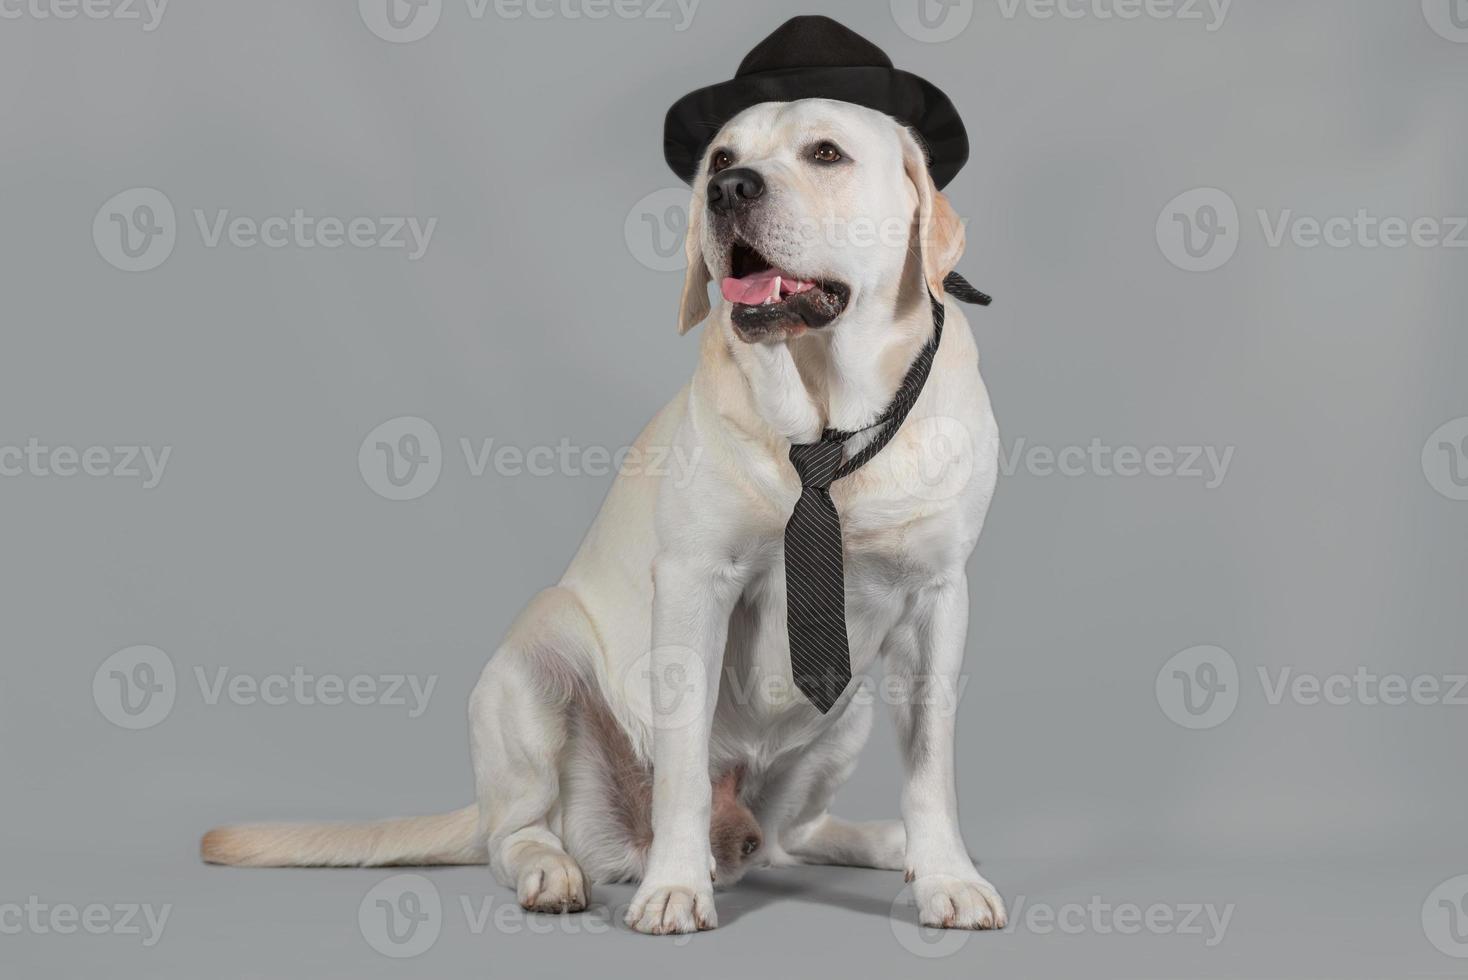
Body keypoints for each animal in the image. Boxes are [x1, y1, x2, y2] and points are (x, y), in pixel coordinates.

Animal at [204, 97, 1009, 933]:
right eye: (721, 159)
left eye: (826, 153)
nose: (730, 191)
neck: (825, 426)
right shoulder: (693, 583)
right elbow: (683, 764)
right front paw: (675, 887)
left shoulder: (937, 599)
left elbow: (931, 763)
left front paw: (946, 874)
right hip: (536, 661)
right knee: (516, 834)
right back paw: (556, 871)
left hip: (846, 711)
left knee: (794, 837)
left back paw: (889, 843)